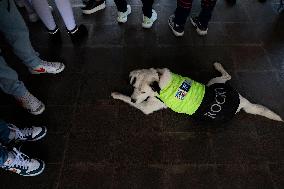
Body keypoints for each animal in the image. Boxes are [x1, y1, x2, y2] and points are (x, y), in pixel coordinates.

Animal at [111, 63, 282, 122]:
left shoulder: (146, 108)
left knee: (228, 76)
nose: (134, 100)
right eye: (134, 87)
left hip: (213, 85)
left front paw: (117, 95)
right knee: (227, 76)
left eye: (143, 91)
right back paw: (218, 65)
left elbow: (124, 98)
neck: (160, 81)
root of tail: (243, 101)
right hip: (213, 83)